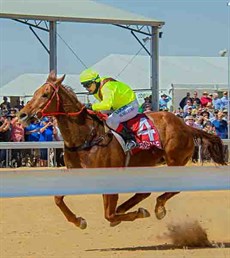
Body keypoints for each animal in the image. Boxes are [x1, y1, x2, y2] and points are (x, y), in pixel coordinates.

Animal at [18, 72, 226, 230]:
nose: (22, 115)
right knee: (144, 192)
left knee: (171, 189)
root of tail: (186, 125)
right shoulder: (76, 173)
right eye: (35, 93)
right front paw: (79, 221)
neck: (86, 136)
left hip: (175, 161)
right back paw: (128, 207)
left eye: (45, 95)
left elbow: (108, 214)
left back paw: (157, 208)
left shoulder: (109, 176)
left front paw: (134, 213)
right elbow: (58, 198)